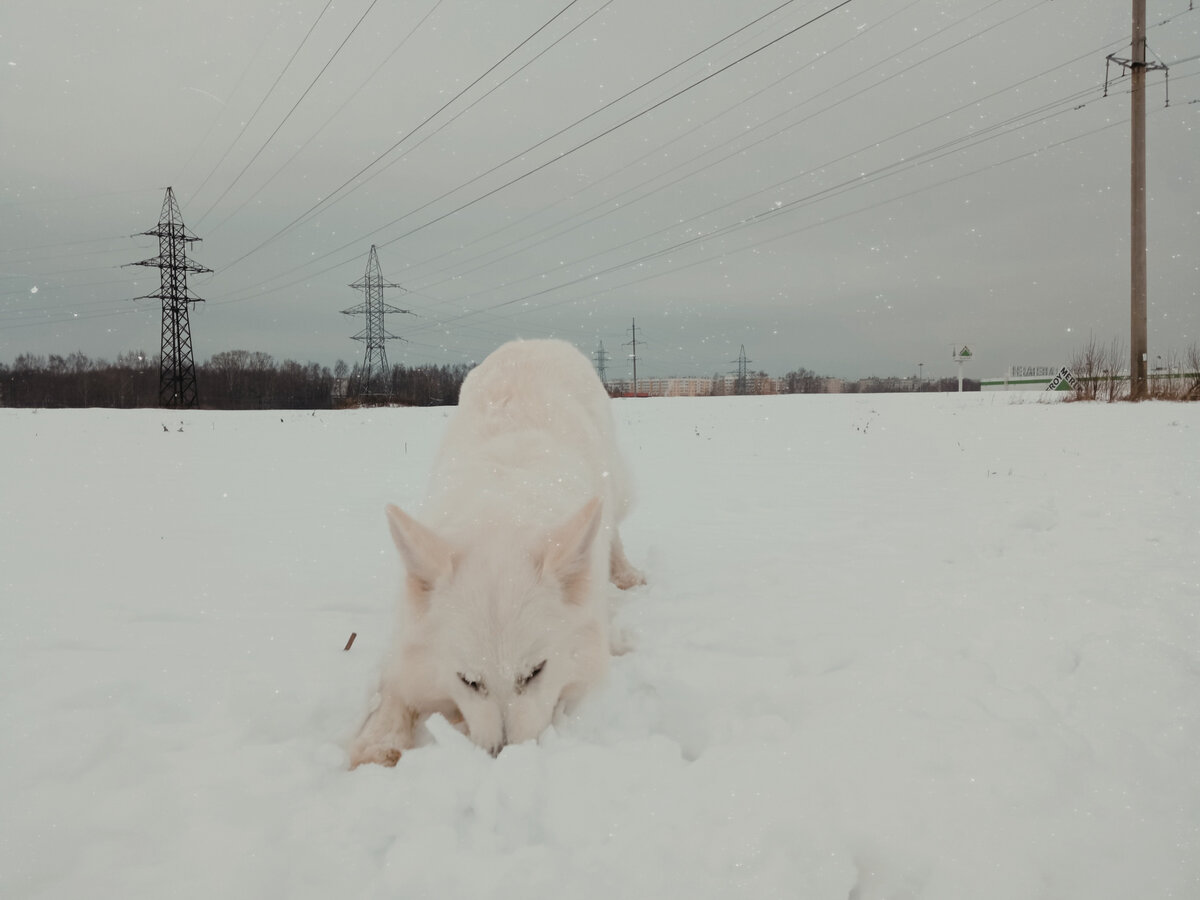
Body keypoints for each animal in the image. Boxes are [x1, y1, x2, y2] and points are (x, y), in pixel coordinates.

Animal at [350, 340, 643, 768]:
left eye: (535, 672)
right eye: (470, 681)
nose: (505, 756)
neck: (500, 513)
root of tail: (536, 340)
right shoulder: (407, 635)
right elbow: (396, 683)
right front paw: (377, 738)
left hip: (614, 485)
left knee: (614, 527)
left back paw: (624, 572)